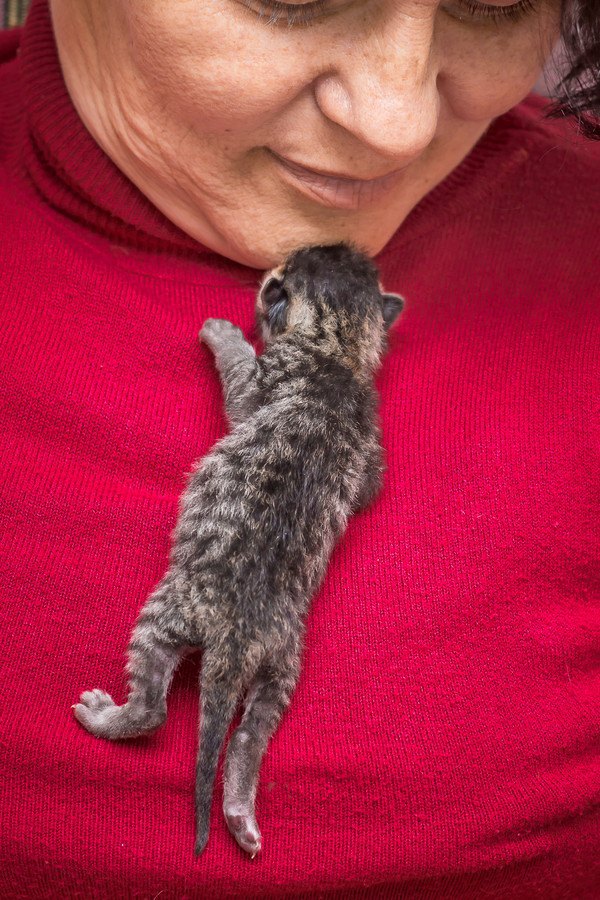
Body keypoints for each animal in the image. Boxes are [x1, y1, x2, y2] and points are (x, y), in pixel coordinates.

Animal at [72, 244, 406, 856]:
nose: (282, 260)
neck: (338, 350)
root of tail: (239, 642)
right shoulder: (370, 447)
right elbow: (370, 485)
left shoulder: (262, 381)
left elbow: (238, 378)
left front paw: (222, 333)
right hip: (282, 668)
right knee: (249, 737)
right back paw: (239, 813)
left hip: (168, 611)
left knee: (154, 709)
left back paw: (108, 716)